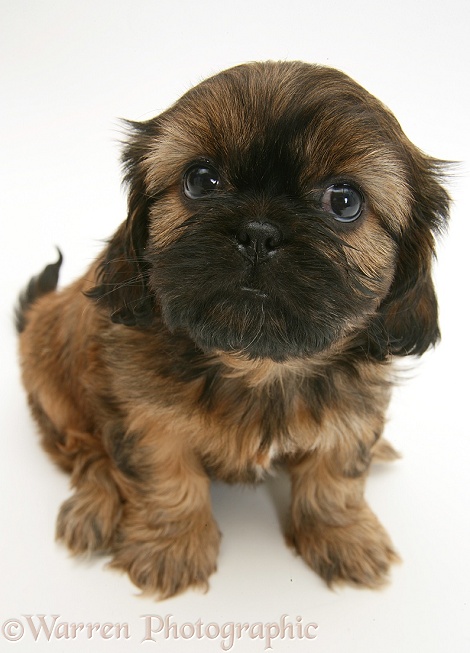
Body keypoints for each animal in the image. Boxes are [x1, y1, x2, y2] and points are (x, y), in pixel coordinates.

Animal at [16, 61, 450, 596]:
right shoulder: (144, 418)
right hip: (52, 385)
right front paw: (172, 548)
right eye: (201, 180)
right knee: (86, 453)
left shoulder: (353, 412)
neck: (256, 363)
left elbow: (336, 475)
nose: (258, 234)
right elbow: (165, 480)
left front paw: (343, 536)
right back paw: (93, 507)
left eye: (345, 201)